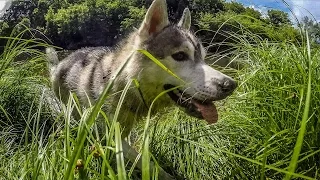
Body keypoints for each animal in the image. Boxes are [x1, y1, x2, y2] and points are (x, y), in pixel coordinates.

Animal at [47, 0, 238, 178]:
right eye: (180, 55)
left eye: (204, 58)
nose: (230, 85)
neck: (124, 86)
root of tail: (61, 63)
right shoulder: (109, 133)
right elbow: (143, 161)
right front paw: (166, 176)